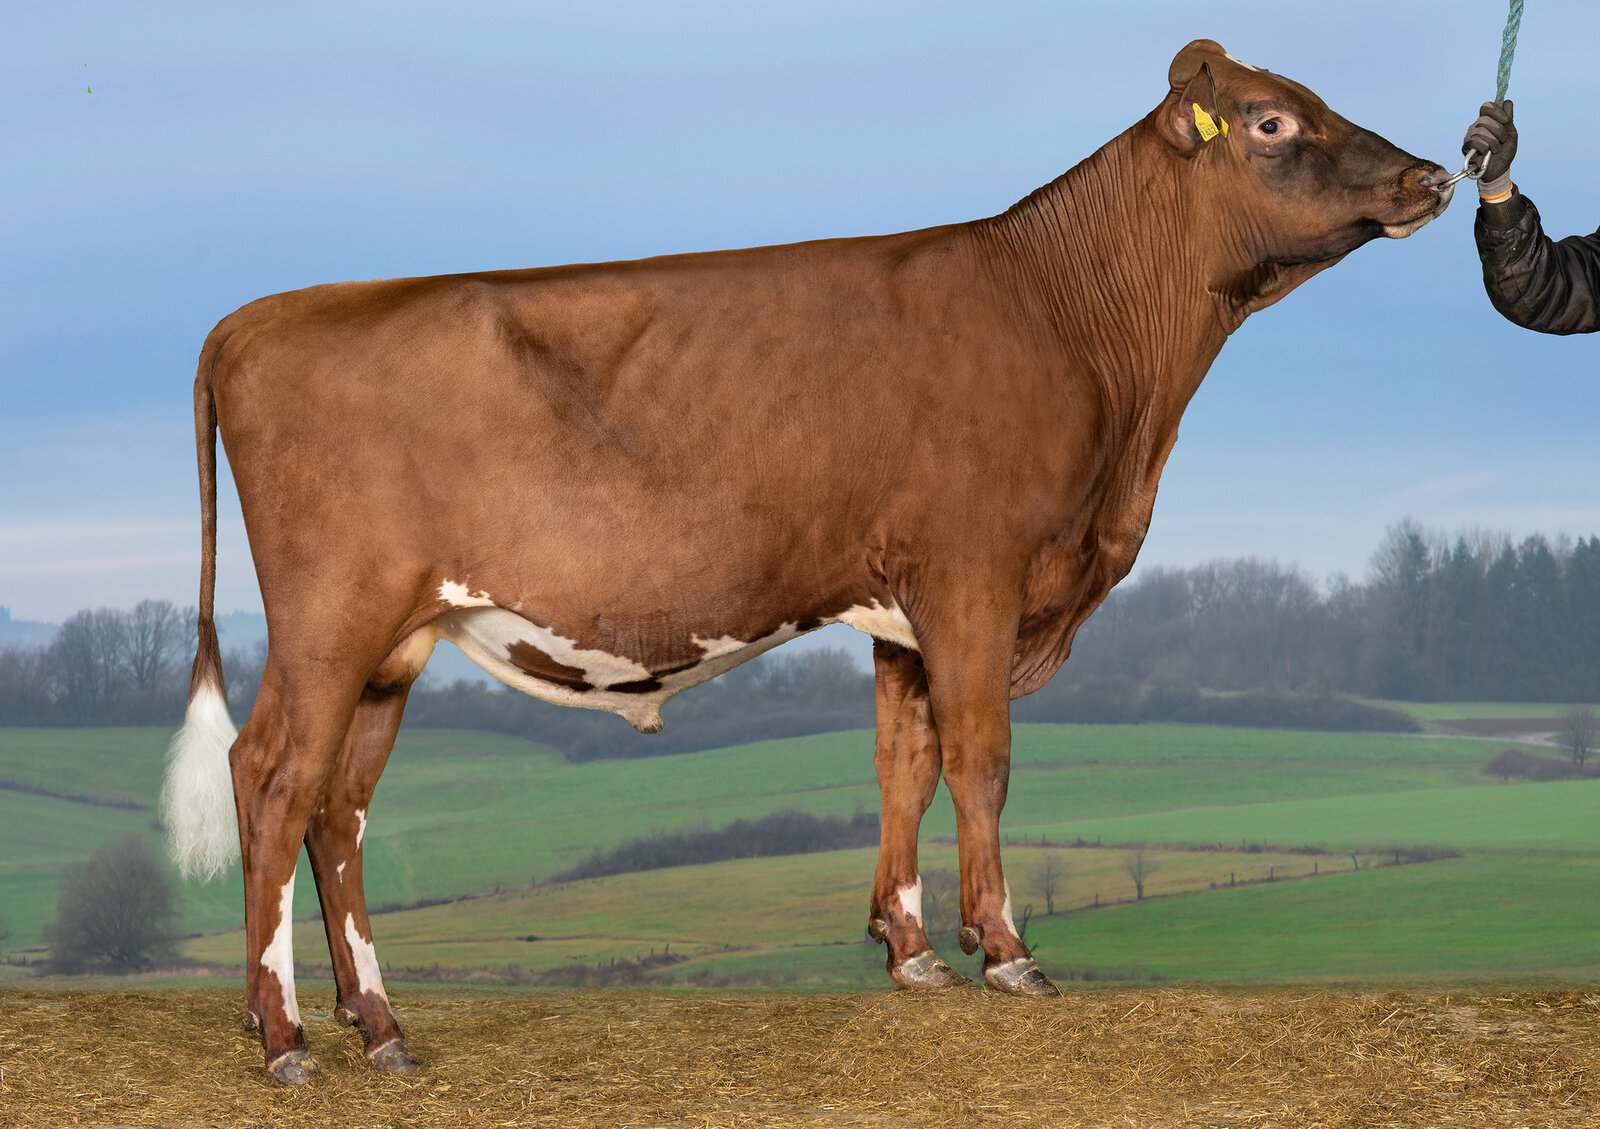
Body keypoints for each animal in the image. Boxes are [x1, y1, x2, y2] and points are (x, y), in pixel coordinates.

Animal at [162, 40, 1453, 1083]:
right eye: (1272, 121)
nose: (1432, 178)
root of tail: (262, 313)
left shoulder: (901, 606)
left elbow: (902, 764)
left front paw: (912, 947)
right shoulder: (975, 572)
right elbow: (981, 758)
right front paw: (1007, 952)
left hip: (398, 639)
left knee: (341, 806)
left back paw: (378, 1025)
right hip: (334, 612)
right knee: (272, 777)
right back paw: (283, 1038)